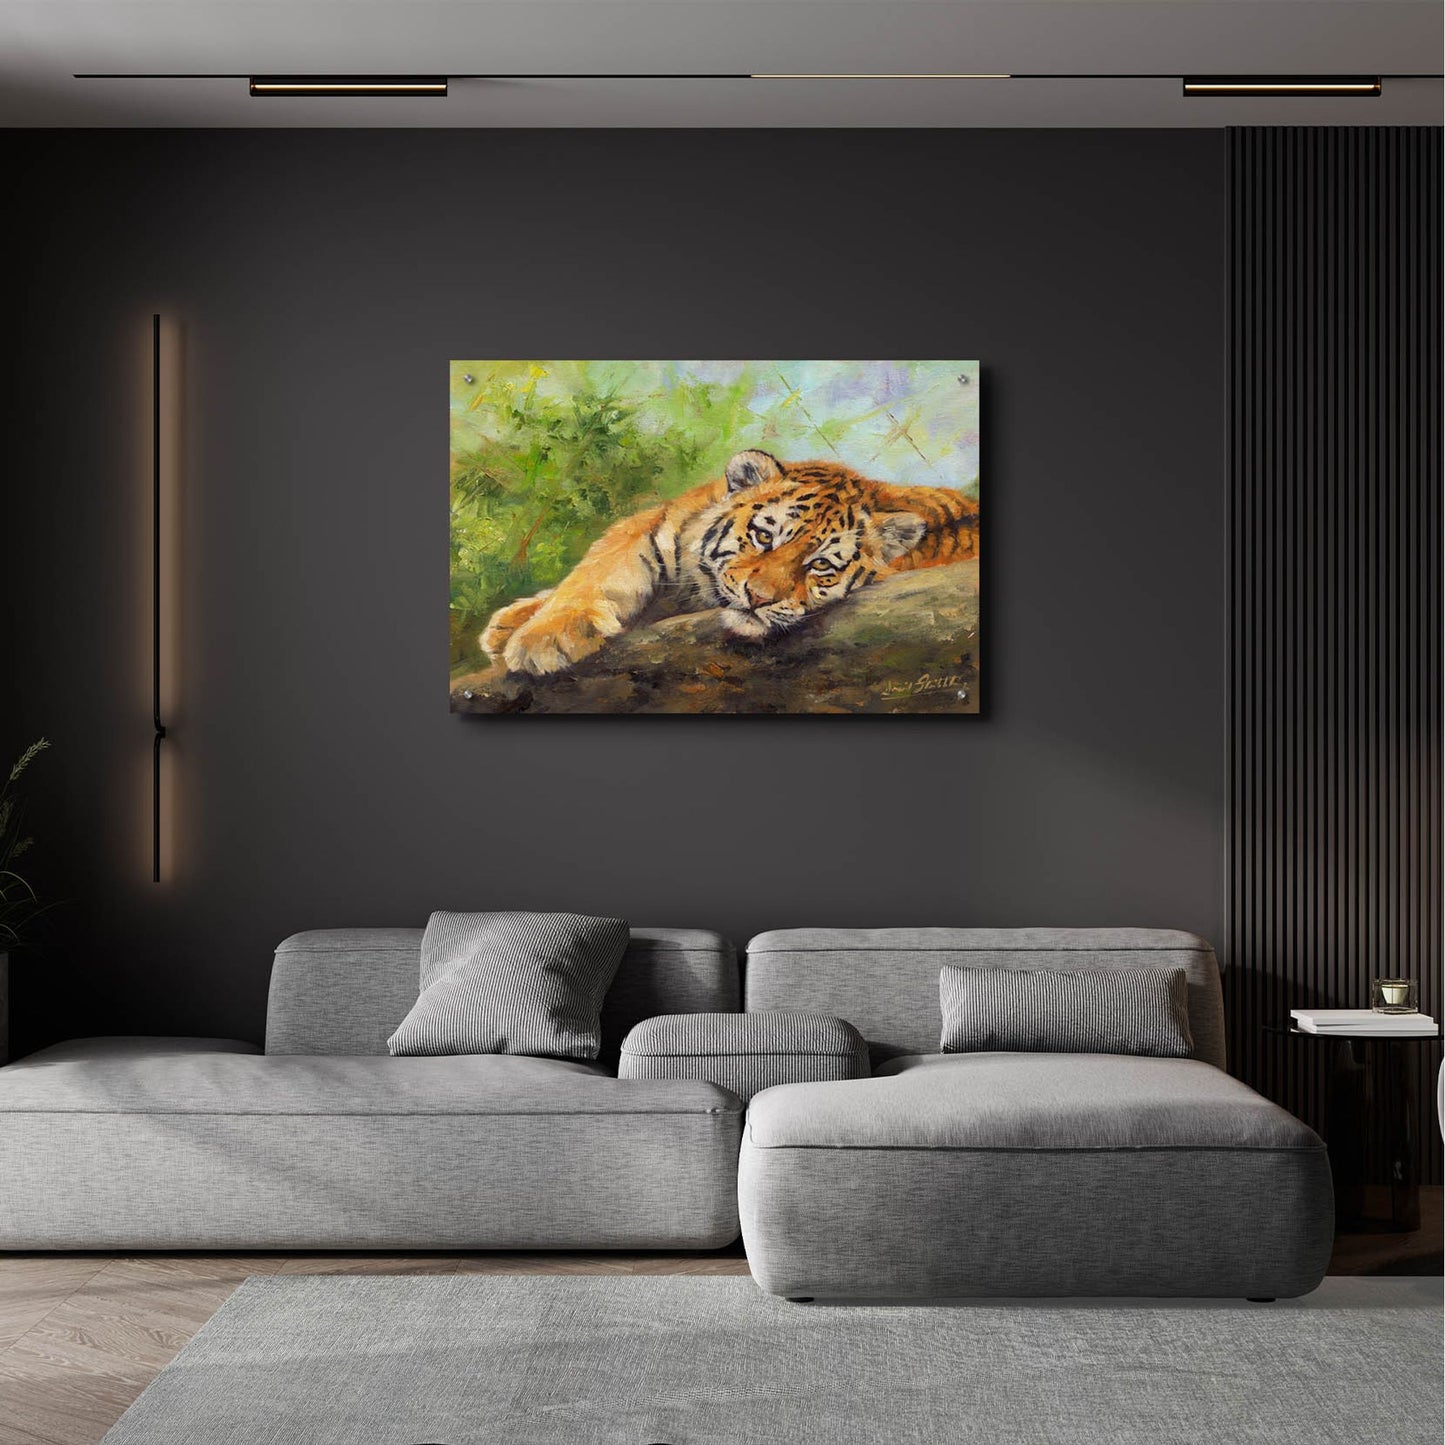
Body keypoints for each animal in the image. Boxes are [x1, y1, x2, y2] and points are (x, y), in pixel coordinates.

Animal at [481, 449, 979, 677]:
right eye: (764, 536)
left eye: (820, 565)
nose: (758, 599)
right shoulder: (650, 526)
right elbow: (597, 572)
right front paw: (534, 629)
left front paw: (534, 638)